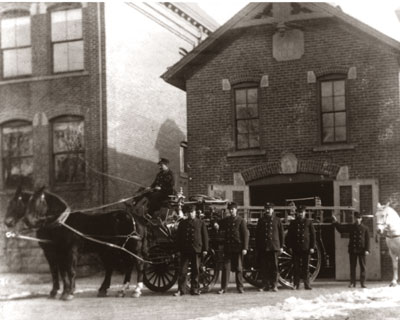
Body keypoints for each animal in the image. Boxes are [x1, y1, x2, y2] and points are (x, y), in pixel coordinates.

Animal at [3, 186, 148, 302]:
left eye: (37, 202)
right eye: (27, 202)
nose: (7, 222)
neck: (61, 223)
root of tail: (136, 217)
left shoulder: (69, 251)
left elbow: (69, 270)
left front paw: (68, 293)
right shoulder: (57, 252)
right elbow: (59, 272)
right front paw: (60, 292)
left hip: (131, 248)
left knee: (139, 264)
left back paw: (136, 290)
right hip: (114, 249)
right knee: (122, 266)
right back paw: (116, 290)